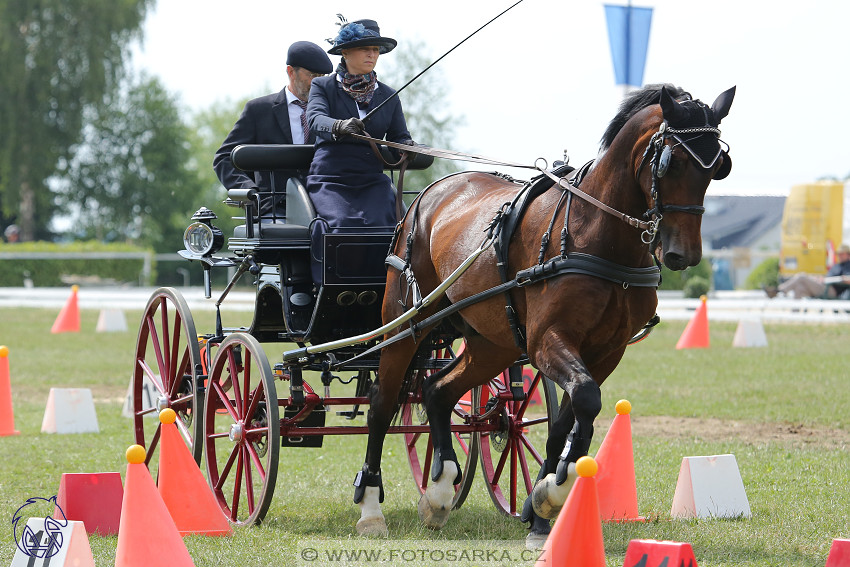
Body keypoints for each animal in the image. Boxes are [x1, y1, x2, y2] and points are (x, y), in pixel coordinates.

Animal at [352, 82, 736, 540]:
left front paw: (541, 505)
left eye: (717, 168)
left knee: (437, 391)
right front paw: (552, 492)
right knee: (382, 402)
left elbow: (568, 419)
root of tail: (427, 197)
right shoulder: (548, 340)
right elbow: (585, 398)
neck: (596, 234)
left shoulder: (606, 351)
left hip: (492, 343)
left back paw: (440, 491)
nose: (683, 254)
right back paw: (371, 507)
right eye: (671, 162)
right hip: (405, 324)